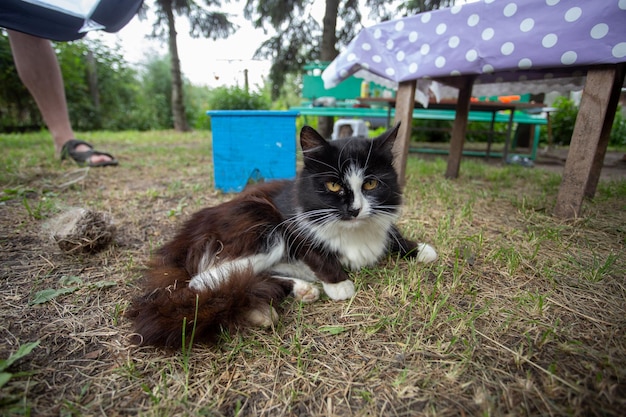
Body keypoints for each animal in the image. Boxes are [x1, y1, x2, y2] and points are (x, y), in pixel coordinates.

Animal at [128, 123, 434, 348]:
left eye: (370, 184)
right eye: (334, 185)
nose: (356, 209)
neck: (352, 229)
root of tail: (181, 240)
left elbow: (390, 232)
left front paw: (419, 249)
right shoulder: (292, 223)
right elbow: (315, 251)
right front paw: (339, 284)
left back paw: (290, 294)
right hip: (262, 223)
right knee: (204, 280)